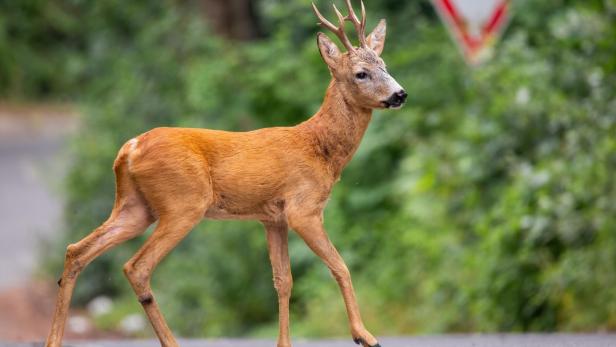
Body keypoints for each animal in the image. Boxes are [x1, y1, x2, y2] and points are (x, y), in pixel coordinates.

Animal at [47, 0, 404, 347]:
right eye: (361, 73)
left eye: (385, 65)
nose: (400, 94)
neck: (320, 148)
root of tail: (129, 148)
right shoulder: (304, 208)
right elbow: (340, 266)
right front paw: (364, 335)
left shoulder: (272, 217)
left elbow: (283, 280)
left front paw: (284, 343)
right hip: (183, 203)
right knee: (136, 267)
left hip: (135, 207)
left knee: (77, 250)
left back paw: (54, 339)